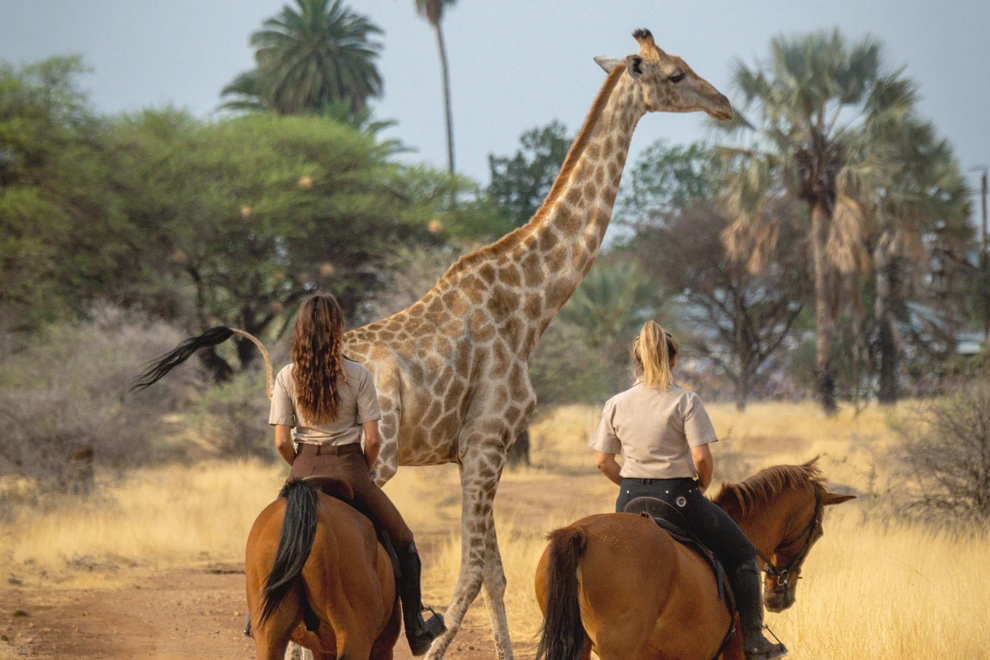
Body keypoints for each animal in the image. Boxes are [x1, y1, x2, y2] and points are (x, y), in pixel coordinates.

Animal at [341, 29, 733, 660]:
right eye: (675, 73)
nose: (723, 103)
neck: (530, 307)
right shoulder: (486, 440)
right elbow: (472, 574)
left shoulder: (479, 448)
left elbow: (493, 576)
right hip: (379, 458)